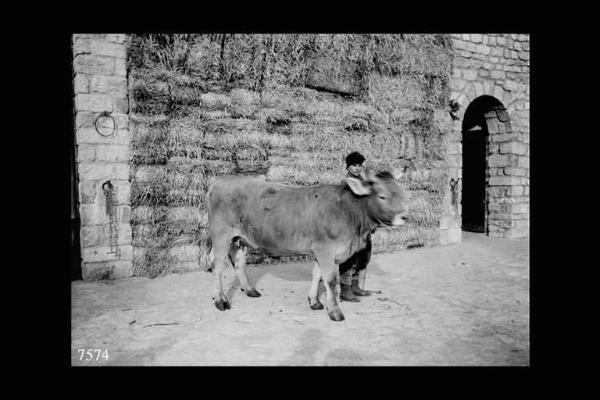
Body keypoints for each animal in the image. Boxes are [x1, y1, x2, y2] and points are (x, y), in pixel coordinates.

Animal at [206, 170, 408, 320]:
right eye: (382, 196)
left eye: (400, 194)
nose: (404, 216)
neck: (348, 211)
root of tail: (220, 180)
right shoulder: (326, 250)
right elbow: (331, 280)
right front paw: (335, 311)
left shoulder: (321, 250)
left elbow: (317, 276)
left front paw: (314, 301)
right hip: (221, 235)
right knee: (218, 266)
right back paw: (220, 300)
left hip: (242, 238)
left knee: (239, 262)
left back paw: (249, 290)